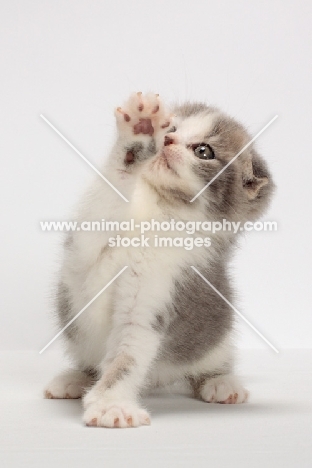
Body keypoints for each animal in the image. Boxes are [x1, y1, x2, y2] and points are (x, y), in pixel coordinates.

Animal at [44, 91, 272, 428]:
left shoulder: (163, 291)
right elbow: (99, 215)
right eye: (171, 127)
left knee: (212, 362)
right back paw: (74, 379)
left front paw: (111, 404)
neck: (158, 210)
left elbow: (129, 354)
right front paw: (138, 136)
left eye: (203, 151)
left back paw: (221, 382)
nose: (168, 139)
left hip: (217, 336)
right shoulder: (82, 259)